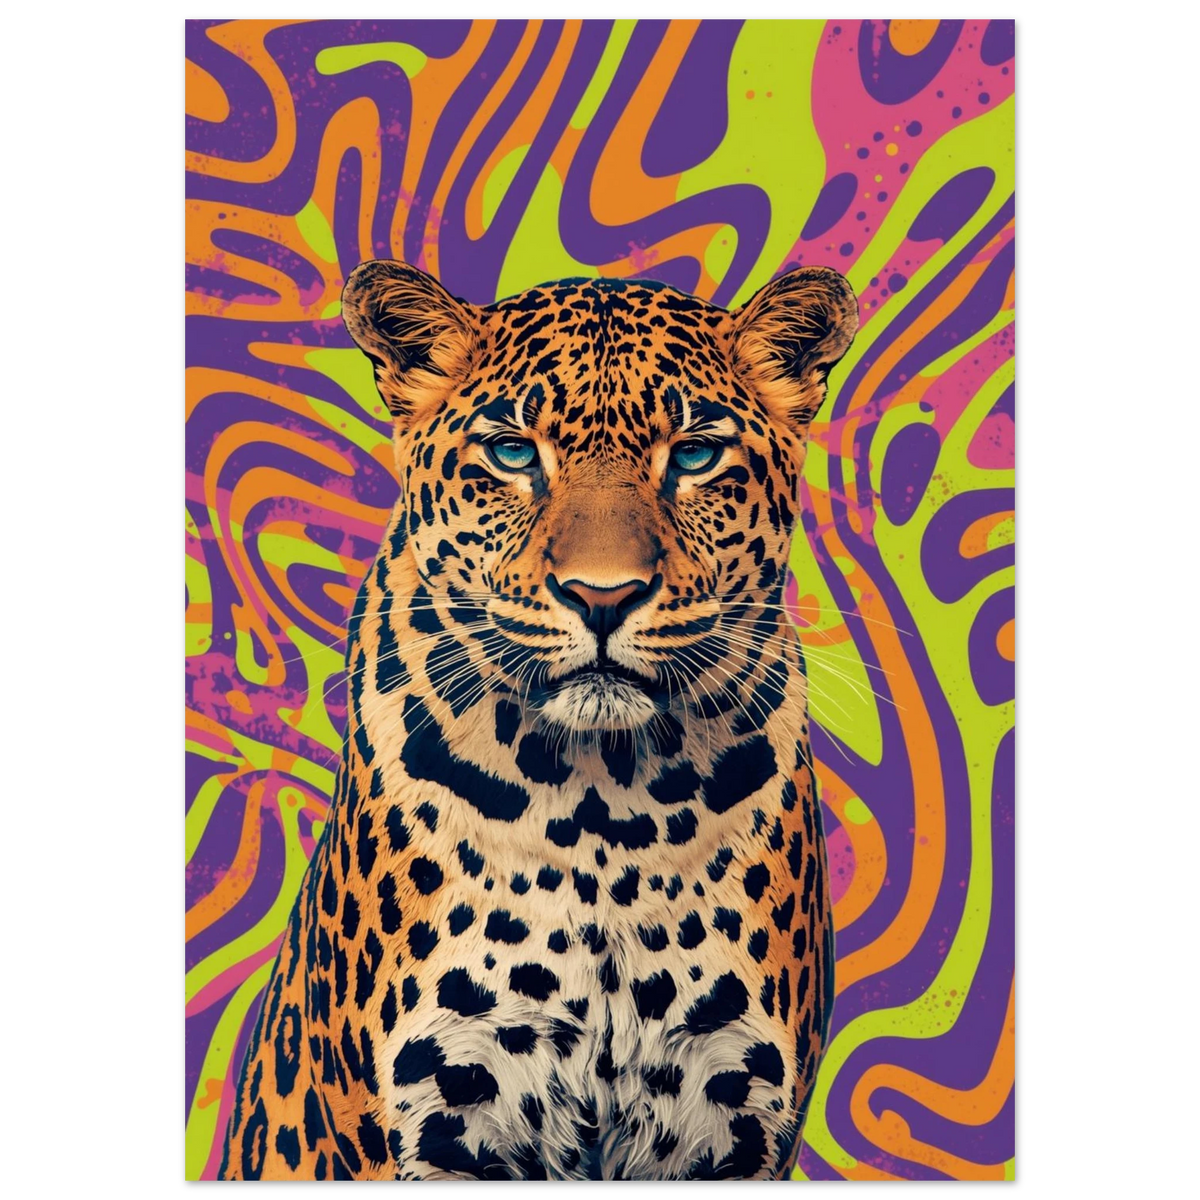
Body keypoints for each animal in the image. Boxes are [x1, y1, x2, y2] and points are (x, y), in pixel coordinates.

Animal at [217, 256, 859, 1181]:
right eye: (514, 452)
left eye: (695, 454)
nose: (603, 596)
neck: (608, 809)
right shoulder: (450, 1110)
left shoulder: (728, 1121)